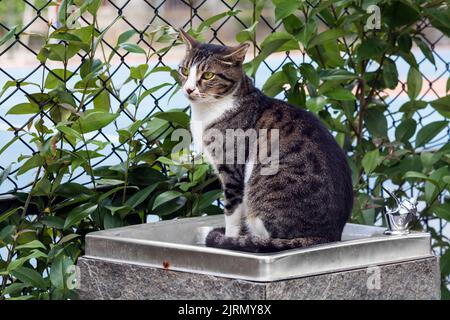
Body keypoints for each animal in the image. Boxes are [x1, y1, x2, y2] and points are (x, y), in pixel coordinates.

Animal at [178, 30, 354, 252]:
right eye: (184, 70)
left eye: (208, 75)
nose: (188, 89)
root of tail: (328, 235)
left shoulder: (232, 170)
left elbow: (232, 214)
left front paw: (228, 238)